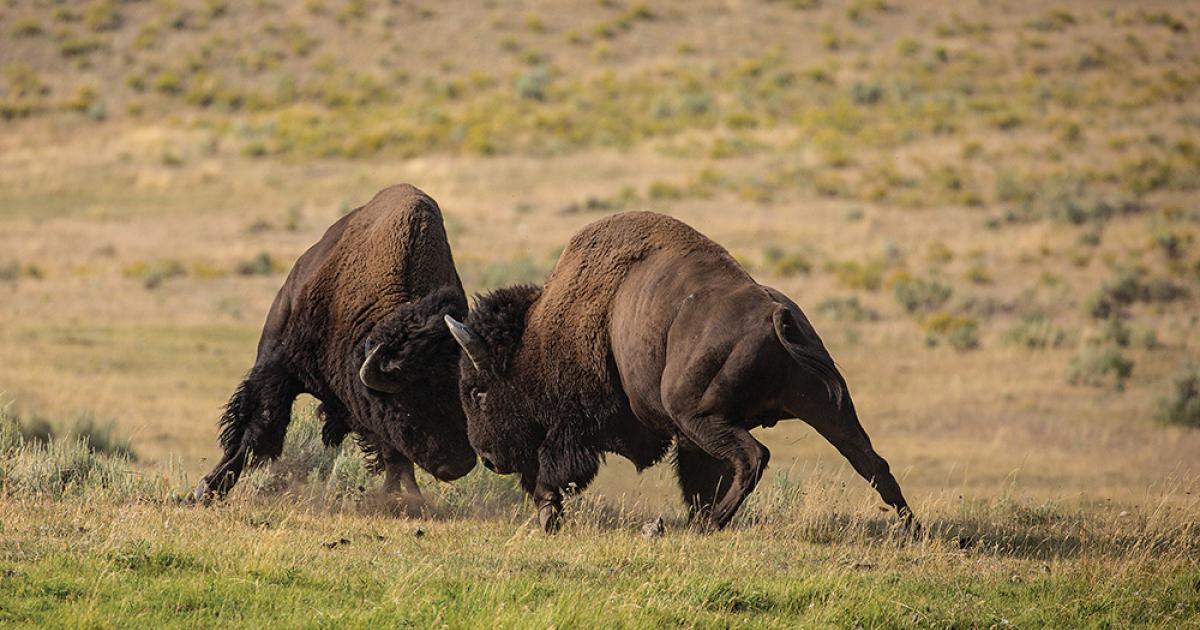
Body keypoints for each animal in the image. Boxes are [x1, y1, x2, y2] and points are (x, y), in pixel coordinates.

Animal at [194, 182, 475, 506]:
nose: (458, 464)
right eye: (406, 409)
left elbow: (393, 452)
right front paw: (205, 489)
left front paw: (404, 496)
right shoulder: (279, 366)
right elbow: (259, 427)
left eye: (464, 396)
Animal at [448, 210, 916, 530]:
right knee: (870, 461)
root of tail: (775, 315)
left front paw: (548, 515)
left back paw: (709, 524)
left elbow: (556, 466)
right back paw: (911, 529)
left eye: (478, 392)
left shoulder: (574, 426)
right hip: (826, 407)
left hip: (696, 413)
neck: (539, 334)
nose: (487, 458)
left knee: (754, 456)